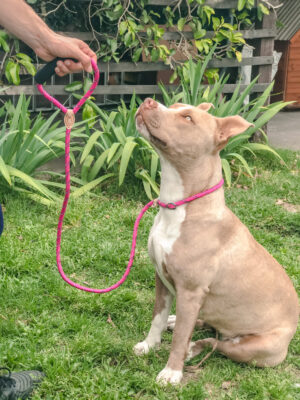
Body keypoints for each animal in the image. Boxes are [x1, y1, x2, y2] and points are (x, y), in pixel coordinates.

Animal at [134, 97, 300, 384]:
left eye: (188, 118)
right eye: (175, 105)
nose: (148, 101)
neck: (179, 205)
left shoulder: (191, 291)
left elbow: (180, 338)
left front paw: (172, 372)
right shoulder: (162, 278)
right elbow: (157, 318)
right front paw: (149, 345)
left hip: (255, 348)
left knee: (215, 343)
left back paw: (193, 348)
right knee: (206, 325)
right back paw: (179, 323)